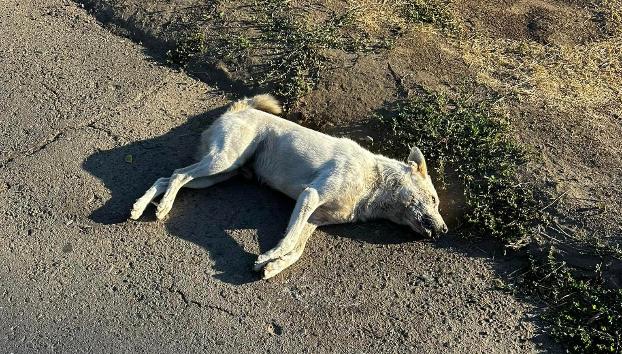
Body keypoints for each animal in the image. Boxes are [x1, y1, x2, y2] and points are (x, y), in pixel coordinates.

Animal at [130, 94, 448, 280]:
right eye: (434, 199)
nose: (445, 230)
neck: (375, 183)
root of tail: (238, 109)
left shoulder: (315, 219)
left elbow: (297, 249)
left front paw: (272, 266)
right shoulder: (310, 195)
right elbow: (288, 240)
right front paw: (267, 256)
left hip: (219, 174)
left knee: (168, 177)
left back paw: (139, 207)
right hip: (222, 162)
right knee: (177, 176)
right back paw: (162, 208)